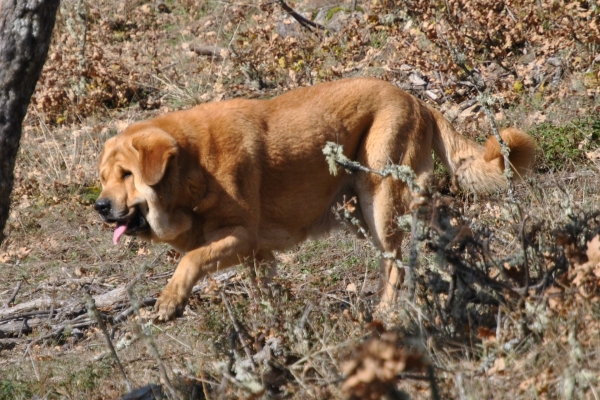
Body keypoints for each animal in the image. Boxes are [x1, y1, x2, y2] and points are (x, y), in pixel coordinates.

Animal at [94, 79, 536, 322]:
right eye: (103, 179)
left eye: (127, 175)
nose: (99, 206)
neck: (191, 167)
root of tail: (416, 100)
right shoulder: (257, 254)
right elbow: (264, 293)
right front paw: (271, 327)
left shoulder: (240, 237)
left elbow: (190, 259)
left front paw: (169, 301)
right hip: (373, 209)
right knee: (446, 227)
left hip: (379, 201)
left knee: (397, 262)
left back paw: (386, 314)